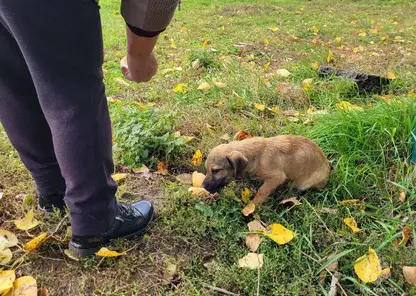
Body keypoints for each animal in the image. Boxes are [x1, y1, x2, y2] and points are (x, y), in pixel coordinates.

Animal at [202, 135, 332, 205]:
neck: (257, 156)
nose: (202, 187)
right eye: (206, 169)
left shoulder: (276, 177)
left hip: (305, 183)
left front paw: (252, 206)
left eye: (216, 170)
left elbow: (262, 191)